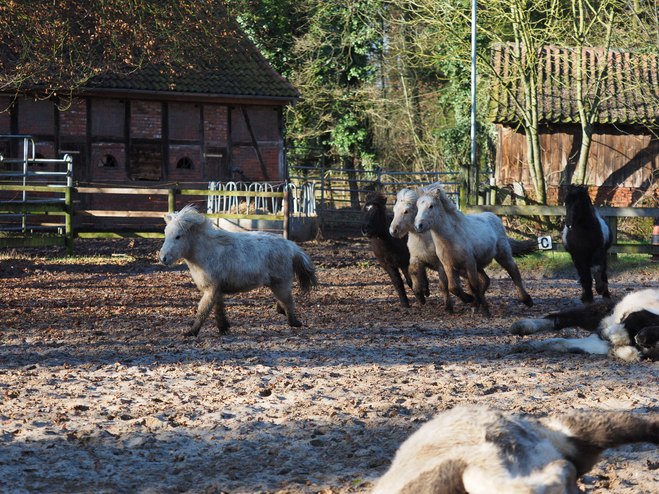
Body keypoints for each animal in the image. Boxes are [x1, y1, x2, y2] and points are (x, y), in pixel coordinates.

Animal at [157, 206, 318, 338]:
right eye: (165, 234)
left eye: (178, 236)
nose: (163, 258)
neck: (207, 252)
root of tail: (290, 245)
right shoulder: (216, 289)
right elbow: (217, 310)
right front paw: (224, 328)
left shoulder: (211, 289)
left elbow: (203, 310)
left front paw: (191, 332)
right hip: (278, 284)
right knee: (284, 301)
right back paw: (282, 312)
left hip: (281, 284)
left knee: (288, 301)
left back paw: (294, 322)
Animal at [510, 288, 659, 360]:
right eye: (632, 319)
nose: (603, 334)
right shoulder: (603, 313)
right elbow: (562, 320)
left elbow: (560, 343)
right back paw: (520, 327)